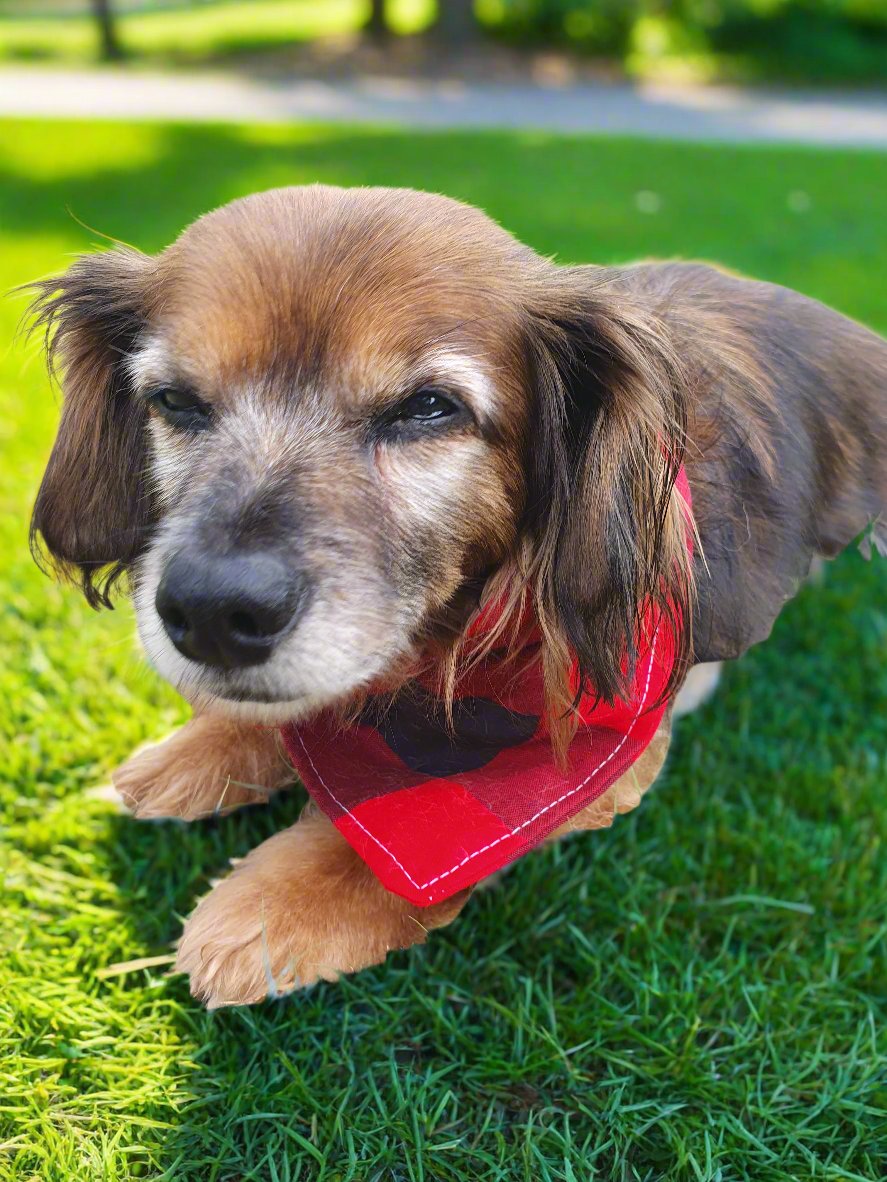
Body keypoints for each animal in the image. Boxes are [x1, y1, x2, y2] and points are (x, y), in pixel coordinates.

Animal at [24, 184, 884, 1007]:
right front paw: (198, 748)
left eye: (427, 408)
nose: (208, 614)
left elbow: (403, 852)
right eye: (174, 401)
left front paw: (279, 904)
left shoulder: (598, 758)